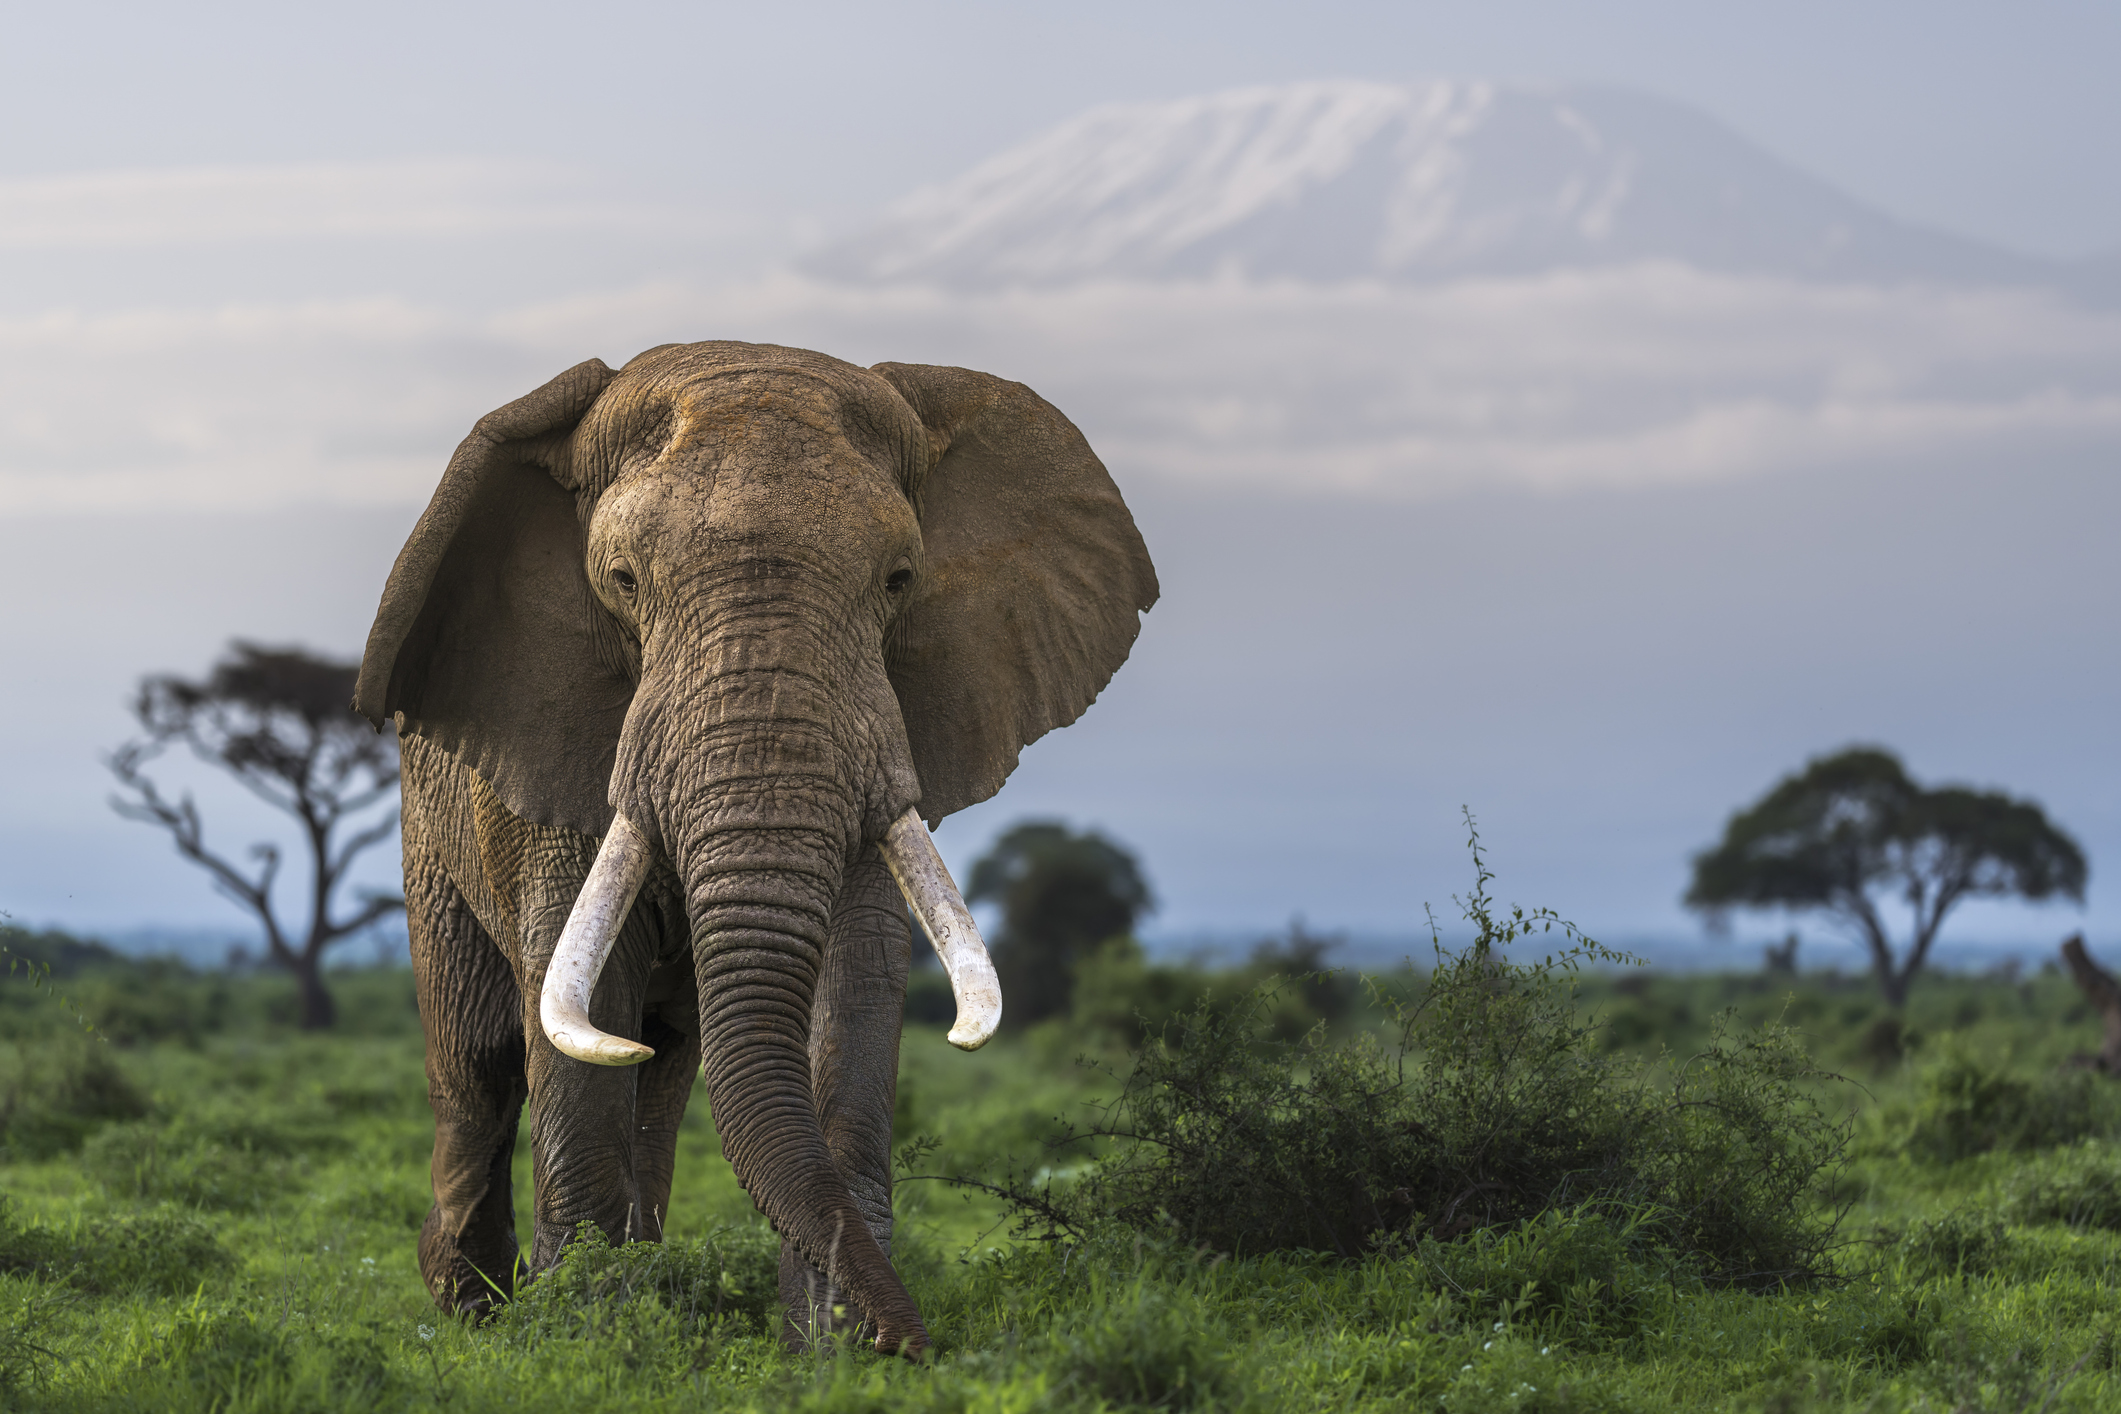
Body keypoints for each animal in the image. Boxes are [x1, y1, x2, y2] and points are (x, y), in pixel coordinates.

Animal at [353, 341, 1157, 1357]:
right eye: (623, 581)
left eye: (899, 580)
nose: (924, 1346)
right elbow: (576, 1015)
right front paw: (586, 1345)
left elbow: (853, 984)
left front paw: (831, 1355)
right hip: (431, 833)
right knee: (482, 1067)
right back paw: (474, 1313)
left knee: (657, 1069)